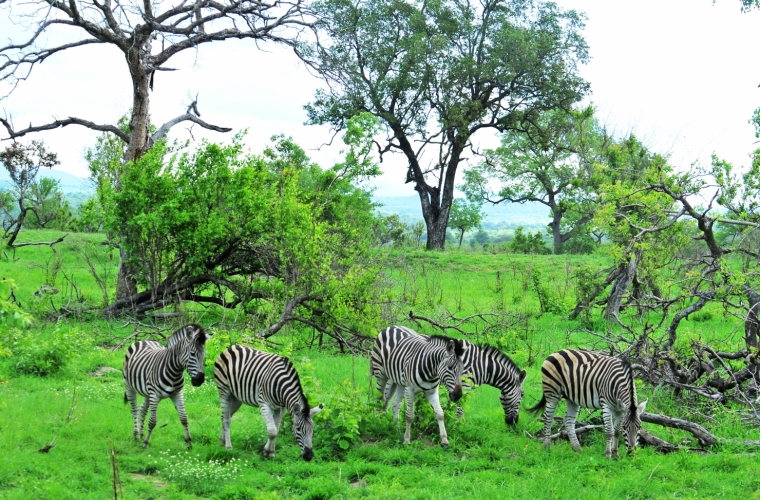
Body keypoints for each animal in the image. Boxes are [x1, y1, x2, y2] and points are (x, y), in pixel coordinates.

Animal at [376, 330, 528, 424]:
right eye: (522, 395)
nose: (514, 422)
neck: (481, 366)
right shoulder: (464, 386)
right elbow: (459, 410)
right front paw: (457, 426)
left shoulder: (456, 388)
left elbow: (451, 406)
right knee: (384, 396)